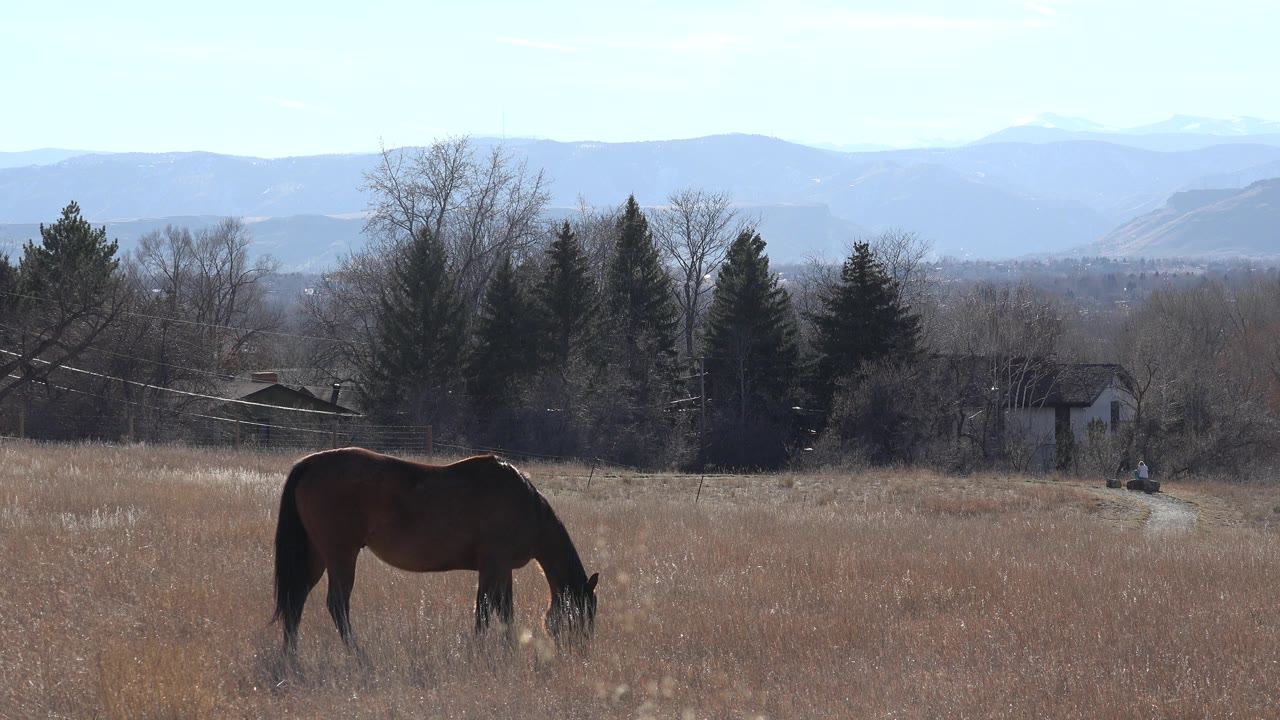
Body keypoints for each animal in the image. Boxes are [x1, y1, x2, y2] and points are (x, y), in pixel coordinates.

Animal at [271, 447, 598, 653]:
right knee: (337, 604)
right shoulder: (493, 565)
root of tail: (311, 463)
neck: (525, 504)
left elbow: (504, 610)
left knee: (295, 599)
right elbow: (486, 610)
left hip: (317, 555)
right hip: (341, 555)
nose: (581, 650)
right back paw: (358, 654)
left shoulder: (501, 569)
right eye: (583, 612)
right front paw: (481, 649)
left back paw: (291, 655)